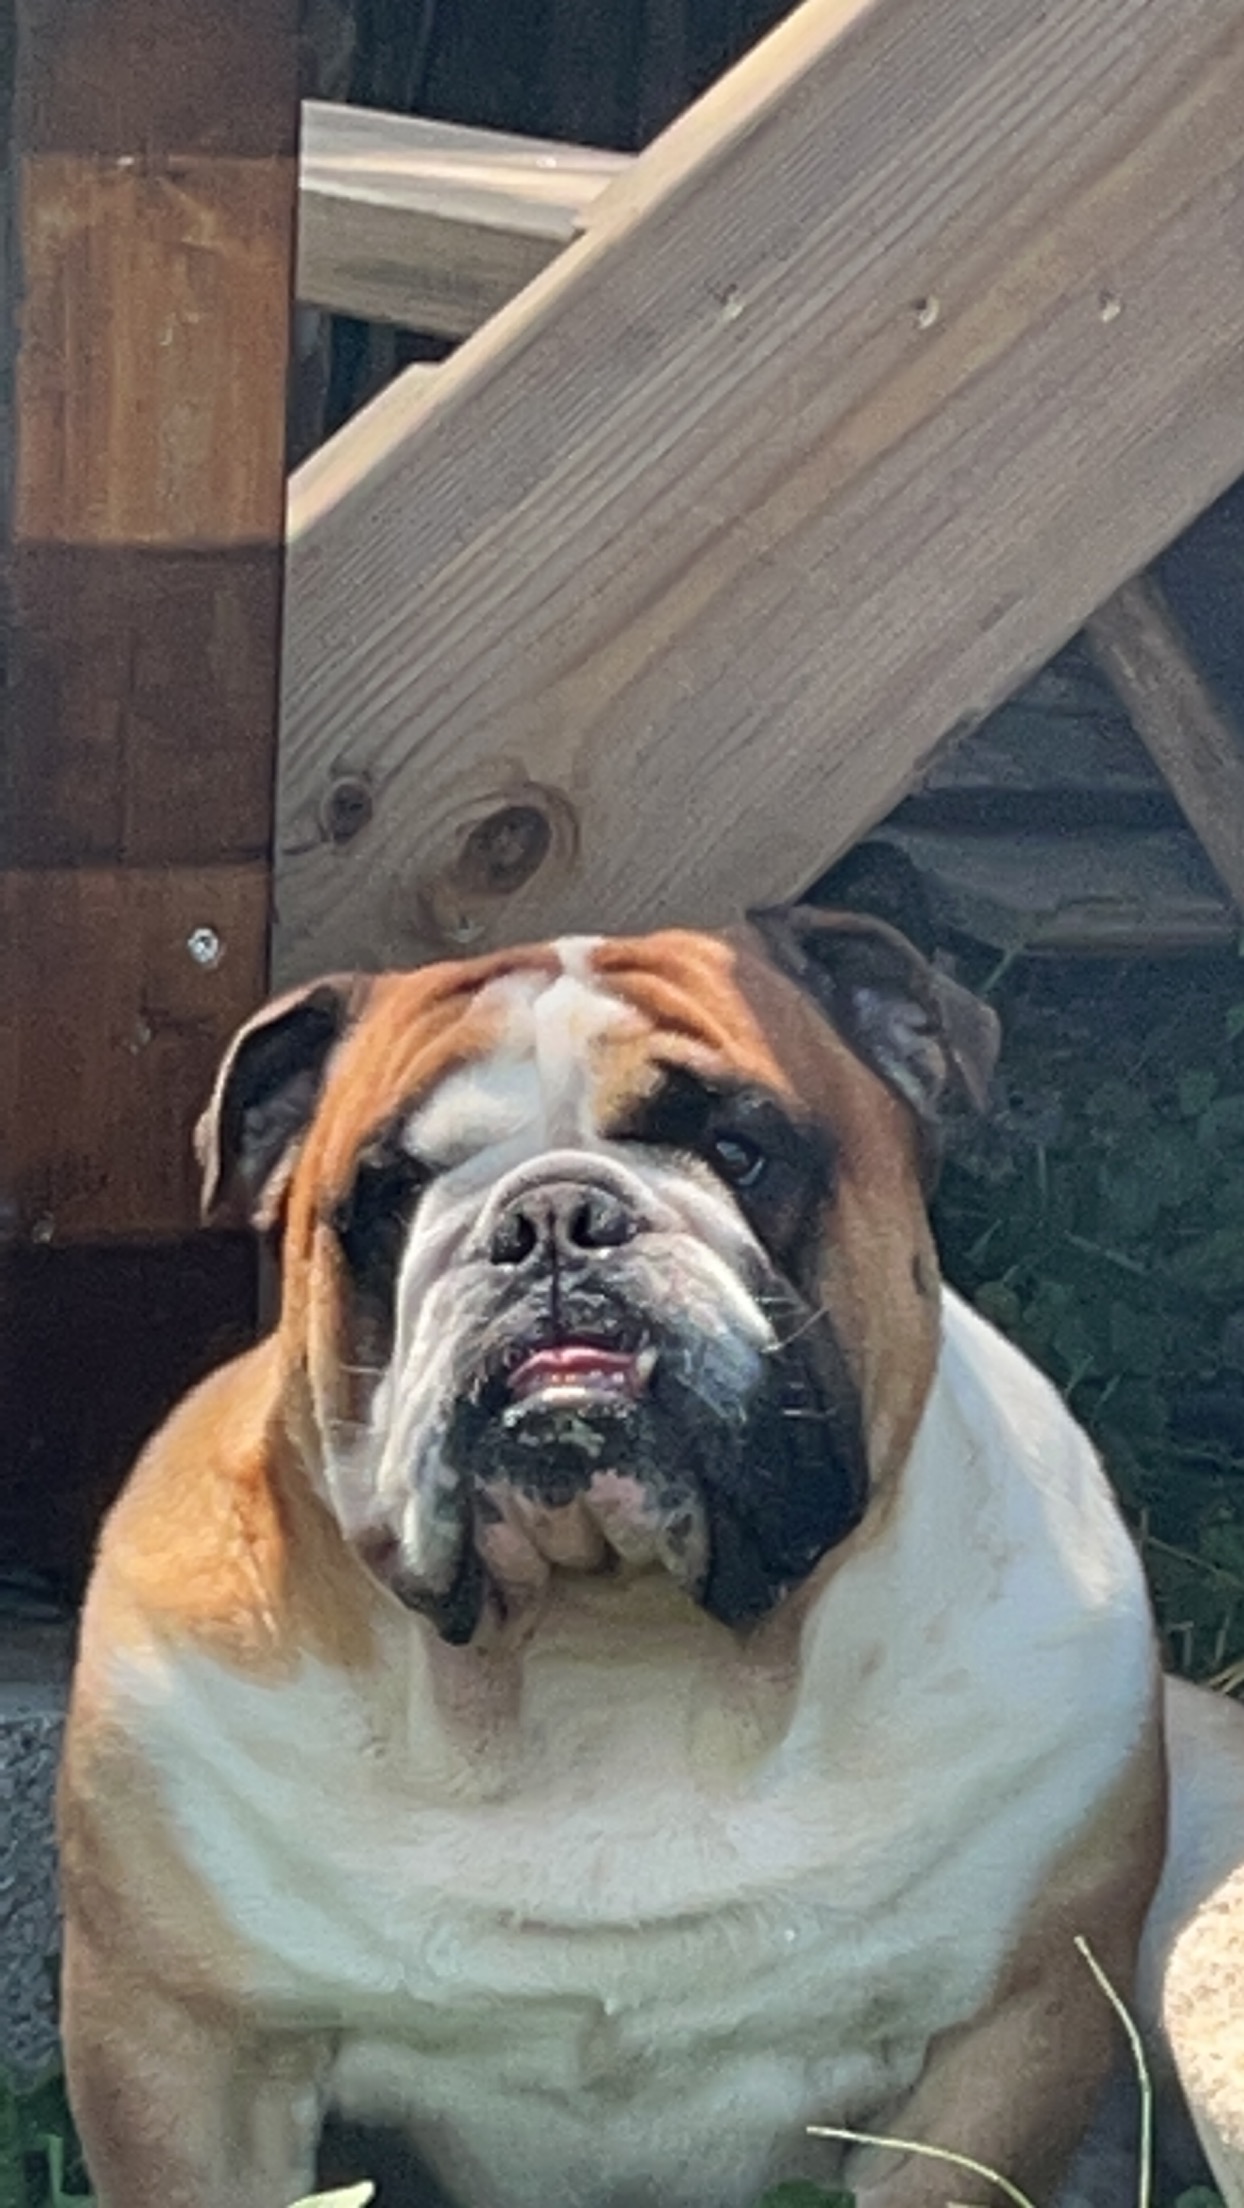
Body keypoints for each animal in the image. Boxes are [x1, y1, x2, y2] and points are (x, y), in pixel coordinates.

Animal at [58, 906, 1244, 2208]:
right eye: (389, 1193)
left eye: (736, 1147)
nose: (548, 1220)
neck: (608, 1658)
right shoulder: (188, 2051)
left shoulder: (1003, 2040)